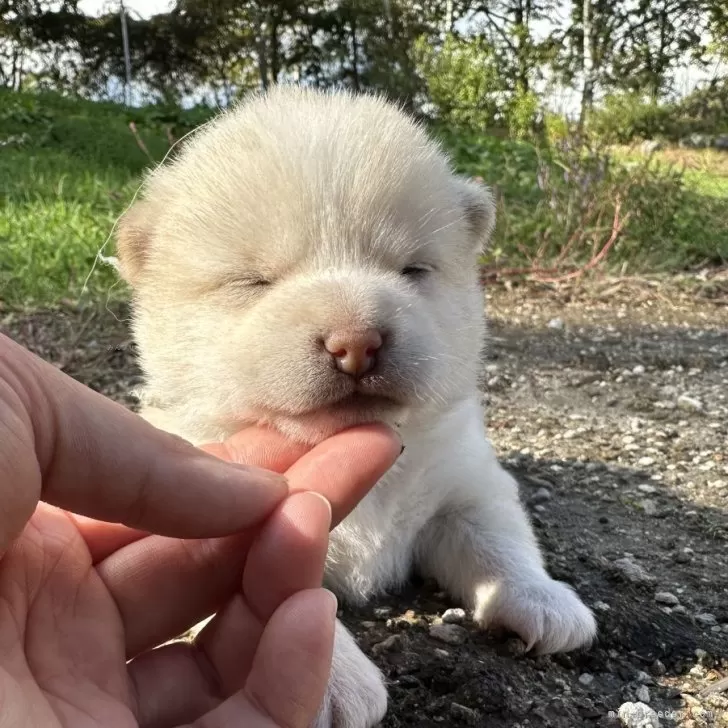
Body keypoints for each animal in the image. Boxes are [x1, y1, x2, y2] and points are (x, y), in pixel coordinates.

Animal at [112, 86, 592, 728]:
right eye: (254, 282)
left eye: (413, 270)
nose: (356, 341)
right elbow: (280, 600)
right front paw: (325, 679)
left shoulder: (465, 482)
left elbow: (500, 536)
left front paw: (545, 599)